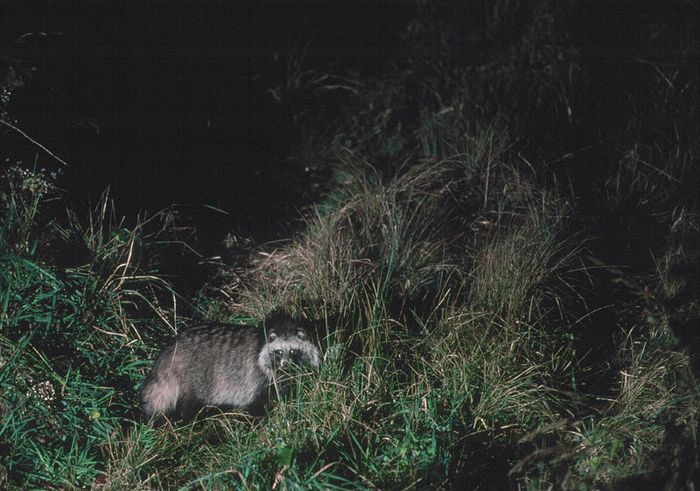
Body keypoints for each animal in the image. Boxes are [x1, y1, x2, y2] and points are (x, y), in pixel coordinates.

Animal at [141, 314, 322, 420]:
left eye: (292, 351)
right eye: (278, 352)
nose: (286, 366)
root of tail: (172, 347)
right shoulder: (256, 375)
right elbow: (257, 402)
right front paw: (261, 419)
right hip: (193, 376)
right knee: (189, 402)